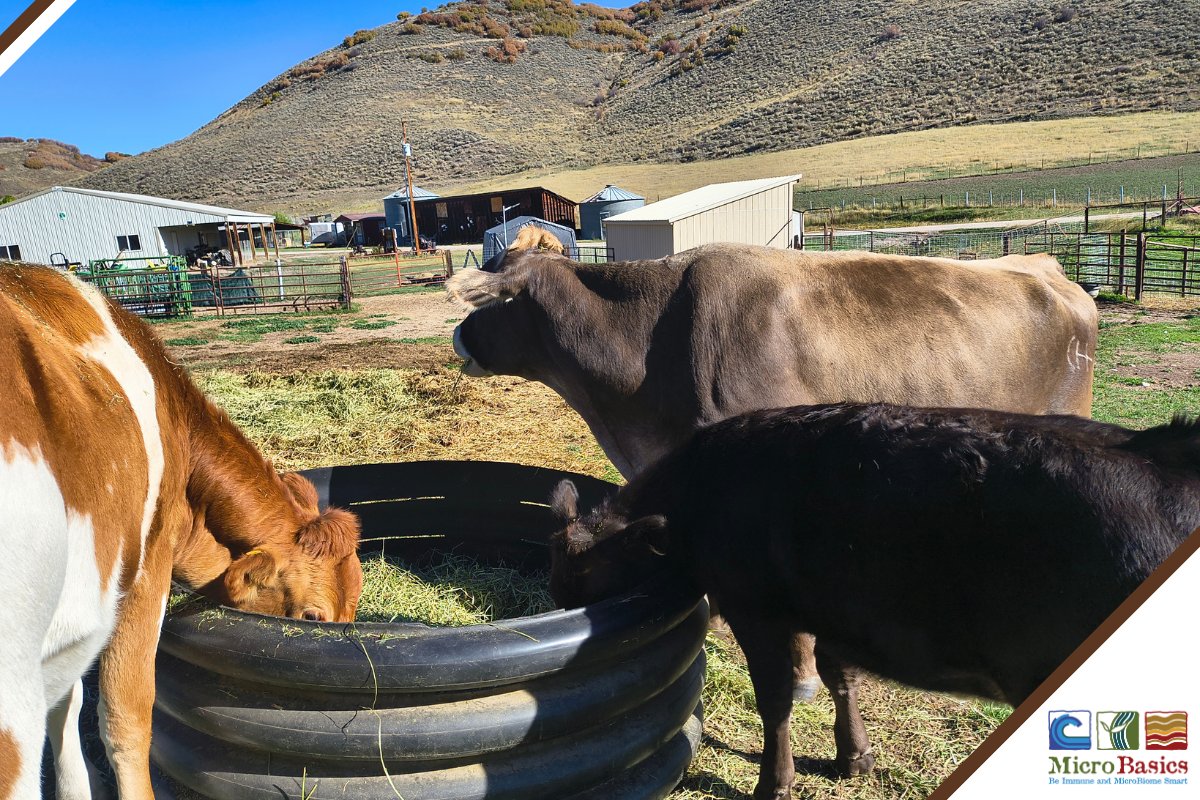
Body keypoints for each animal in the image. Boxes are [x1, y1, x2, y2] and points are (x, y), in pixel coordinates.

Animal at [548, 403, 1200, 799]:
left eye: (586, 577)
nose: (556, 601)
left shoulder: (758, 609)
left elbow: (775, 700)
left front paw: (774, 783)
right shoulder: (834, 610)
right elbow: (841, 676)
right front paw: (852, 758)